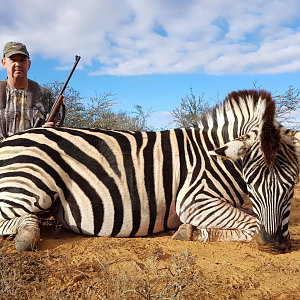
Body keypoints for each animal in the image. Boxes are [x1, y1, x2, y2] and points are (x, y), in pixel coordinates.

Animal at [0, 89, 298, 253]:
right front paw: (194, 232)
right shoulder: (194, 200)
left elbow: (250, 217)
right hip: (33, 182)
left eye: (291, 186)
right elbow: (251, 223)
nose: (273, 244)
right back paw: (28, 233)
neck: (215, 156)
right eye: (252, 184)